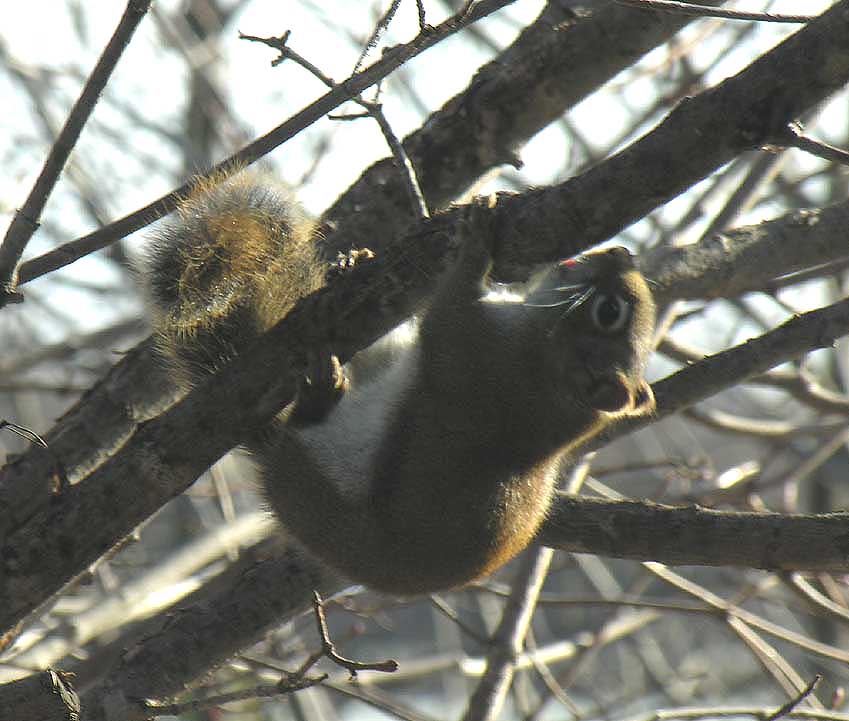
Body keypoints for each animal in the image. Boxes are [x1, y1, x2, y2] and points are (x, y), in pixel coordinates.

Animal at [147, 172, 656, 592]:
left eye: (609, 312)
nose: (620, 252)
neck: (548, 376)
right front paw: (352, 262)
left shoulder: (475, 353)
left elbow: (447, 307)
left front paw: (475, 243)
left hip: (325, 465)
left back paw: (318, 398)